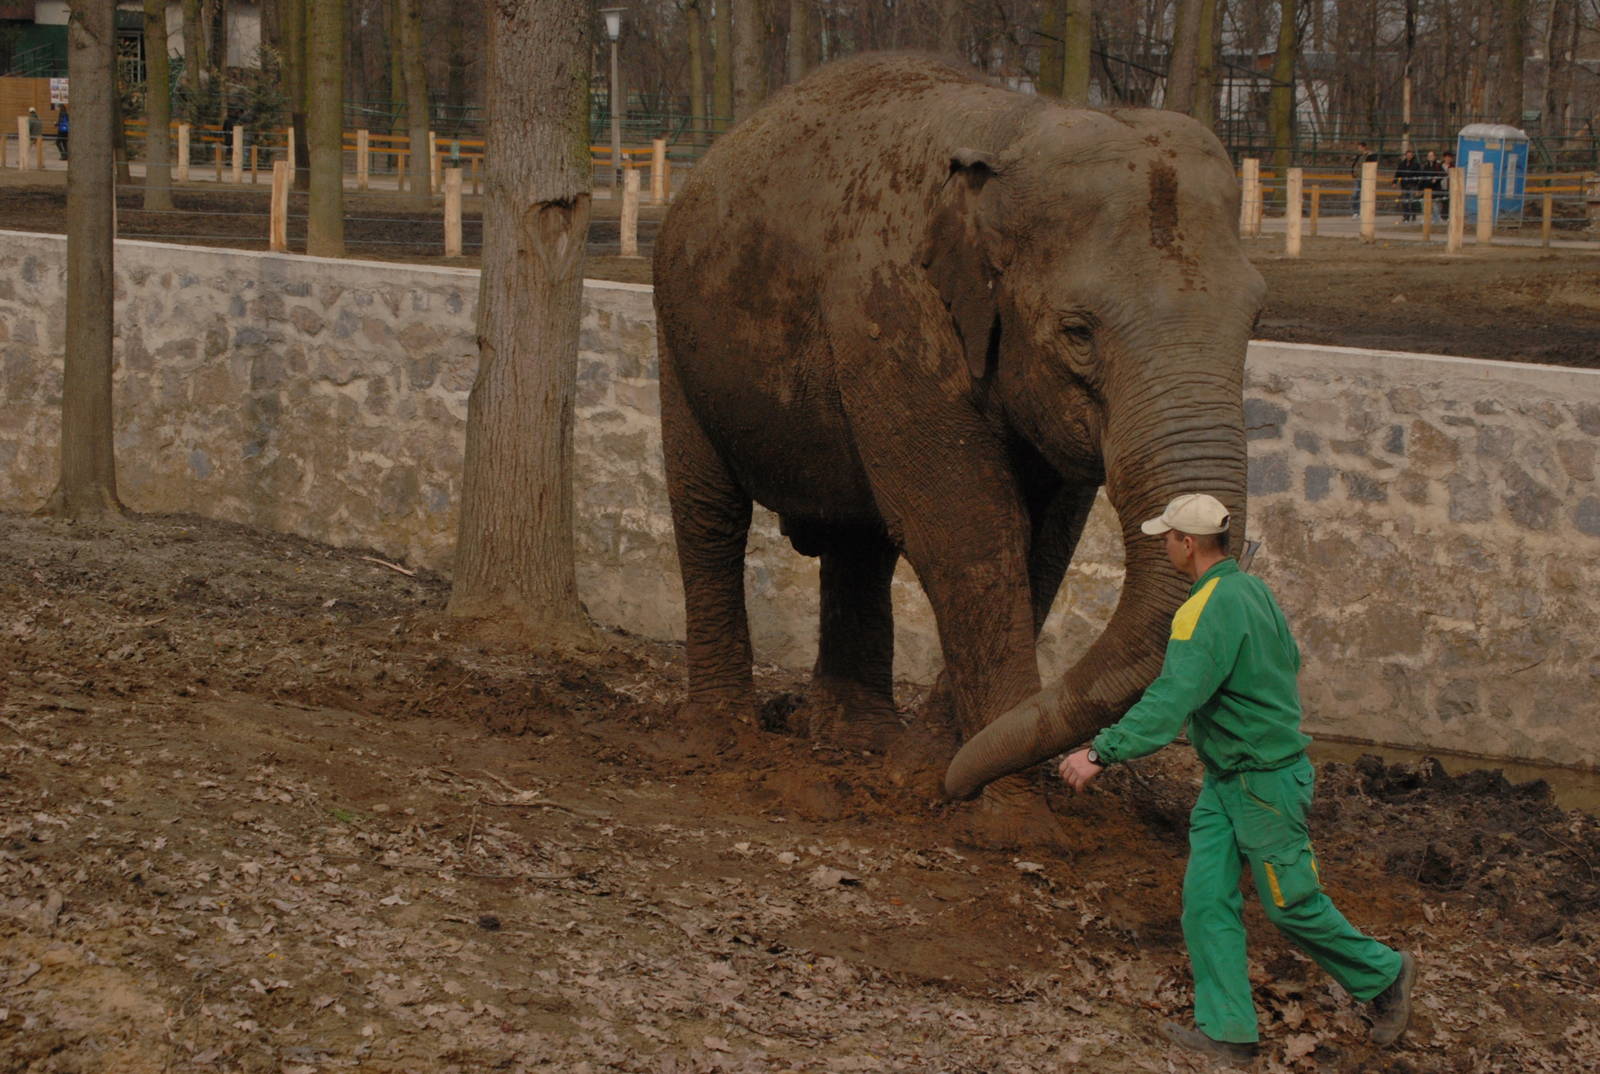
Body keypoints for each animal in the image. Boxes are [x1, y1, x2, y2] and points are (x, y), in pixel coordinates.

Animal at [651, 53, 1261, 843]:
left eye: (1257, 317)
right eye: (1078, 332)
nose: (947, 788)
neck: (1018, 129)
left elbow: (1042, 545)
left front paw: (925, 769)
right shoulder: (890, 317)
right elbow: (970, 531)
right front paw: (1013, 825)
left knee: (860, 542)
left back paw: (858, 741)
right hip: (680, 338)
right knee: (709, 513)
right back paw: (720, 738)